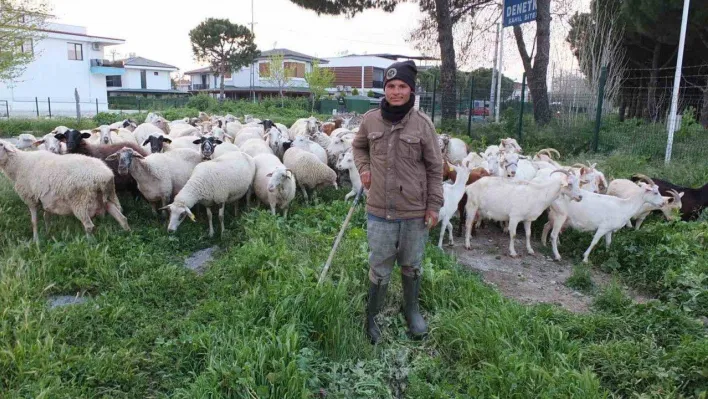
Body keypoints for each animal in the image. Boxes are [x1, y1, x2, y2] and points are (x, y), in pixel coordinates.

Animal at [0, 141, 130, 242]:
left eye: (1, 144)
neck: (19, 164)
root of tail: (105, 176)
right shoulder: (46, 200)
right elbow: (46, 217)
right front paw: (48, 232)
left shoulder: (30, 199)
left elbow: (34, 221)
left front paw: (36, 241)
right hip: (108, 197)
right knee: (122, 218)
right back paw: (127, 235)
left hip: (80, 202)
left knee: (89, 226)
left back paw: (90, 244)